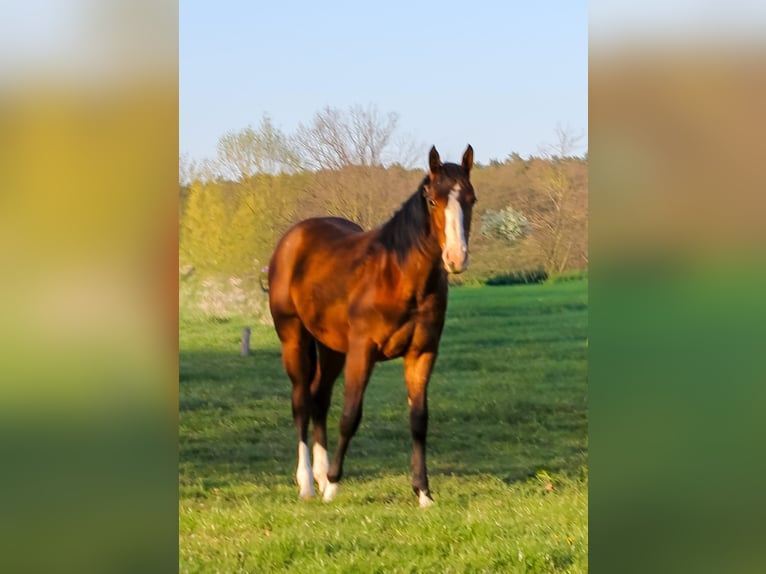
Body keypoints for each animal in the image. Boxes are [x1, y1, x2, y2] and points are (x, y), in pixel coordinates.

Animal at [268, 145, 476, 507]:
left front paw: (423, 493)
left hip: (332, 349)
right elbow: (350, 416)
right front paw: (333, 486)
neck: (397, 276)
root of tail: (292, 239)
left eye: (471, 199)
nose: (455, 257)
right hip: (293, 339)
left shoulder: (422, 353)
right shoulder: (362, 353)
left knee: (319, 398)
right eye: (433, 200)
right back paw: (309, 484)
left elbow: (419, 420)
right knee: (302, 403)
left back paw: (319, 475)